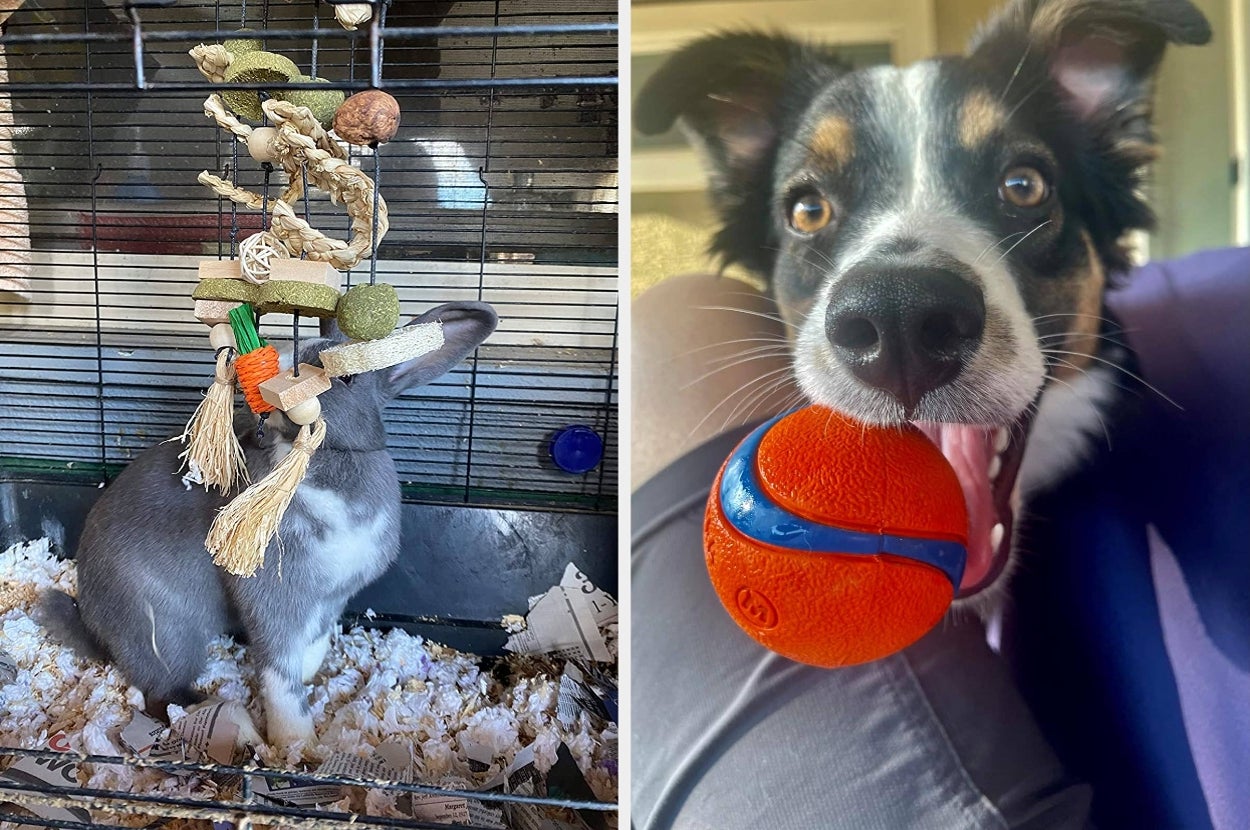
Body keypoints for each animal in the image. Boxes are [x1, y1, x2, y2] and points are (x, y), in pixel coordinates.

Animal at [38, 301, 498, 748]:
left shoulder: (330, 598)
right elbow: (279, 671)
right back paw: (238, 726)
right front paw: (295, 740)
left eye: (347, 377)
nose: (273, 379)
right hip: (167, 631)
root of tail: (96, 627)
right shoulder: (274, 595)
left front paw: (310, 673)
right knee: (163, 696)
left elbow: (312, 643)